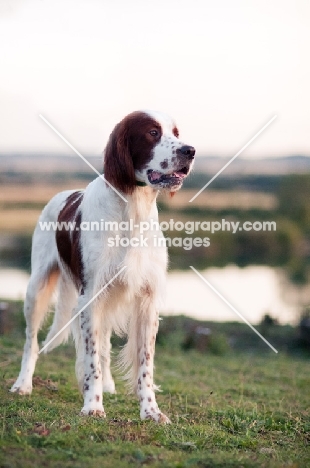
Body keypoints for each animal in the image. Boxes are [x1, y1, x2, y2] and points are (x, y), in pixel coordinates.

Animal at [12, 110, 196, 424]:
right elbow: (91, 360)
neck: (132, 209)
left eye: (176, 132)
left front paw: (151, 410)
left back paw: (109, 385)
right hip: (36, 288)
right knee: (30, 341)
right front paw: (92, 406)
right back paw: (23, 384)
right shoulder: (90, 296)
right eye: (152, 132)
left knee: (105, 346)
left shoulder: (147, 300)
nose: (190, 151)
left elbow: (144, 365)